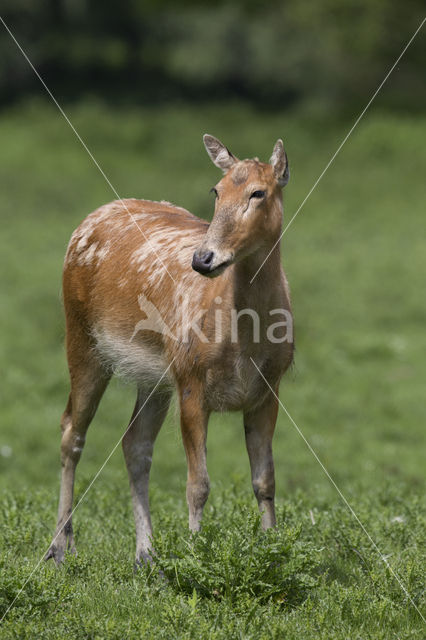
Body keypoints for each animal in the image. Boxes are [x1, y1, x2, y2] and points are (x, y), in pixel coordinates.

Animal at [45, 134, 292, 564]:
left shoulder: (270, 386)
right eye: (216, 190)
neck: (246, 340)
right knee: (71, 430)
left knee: (134, 443)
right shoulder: (191, 377)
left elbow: (265, 480)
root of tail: (89, 218)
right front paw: (195, 557)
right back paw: (60, 547)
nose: (203, 258)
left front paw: (273, 552)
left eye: (258, 192)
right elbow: (198, 484)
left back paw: (146, 555)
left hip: (155, 376)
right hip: (81, 335)